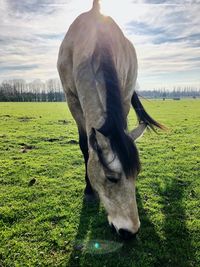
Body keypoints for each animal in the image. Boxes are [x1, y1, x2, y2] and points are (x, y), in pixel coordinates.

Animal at [57, 0, 163, 241]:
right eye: (112, 178)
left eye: (137, 173)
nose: (130, 232)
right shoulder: (72, 100)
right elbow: (85, 146)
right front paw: (89, 191)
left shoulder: (123, 95)